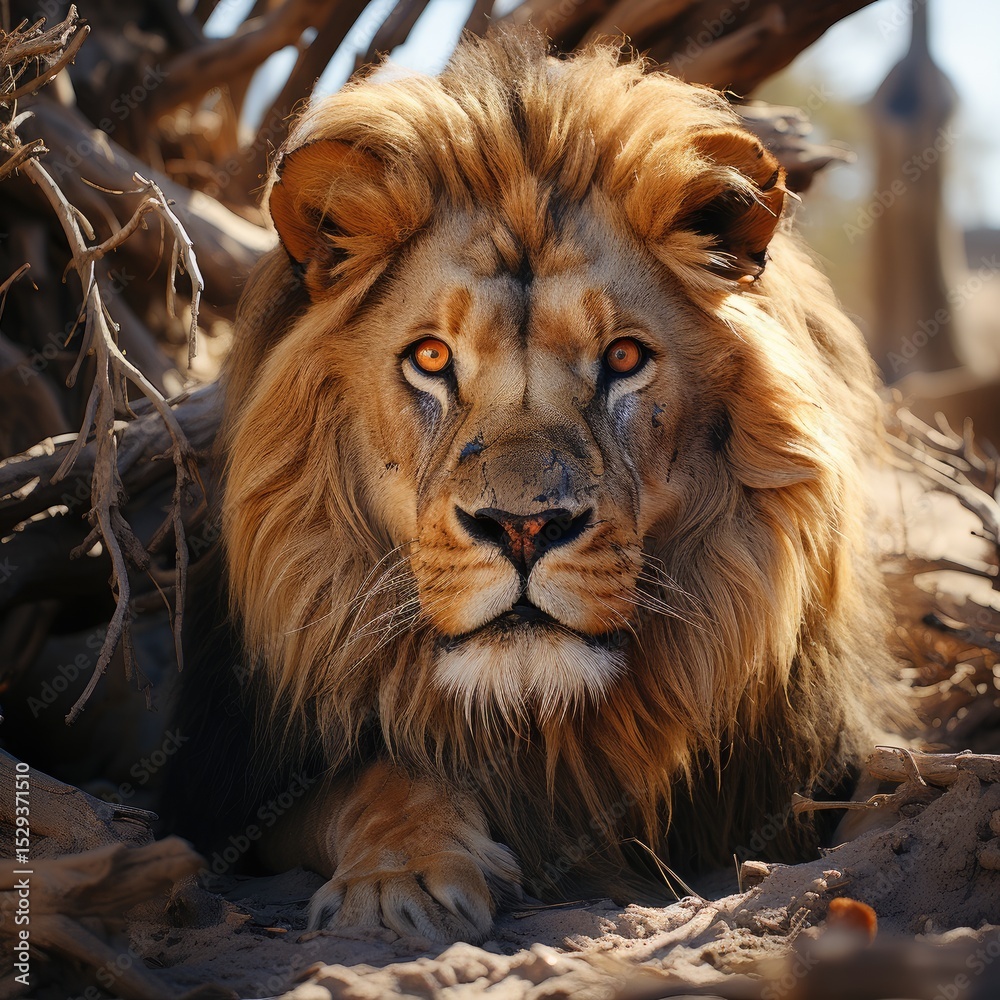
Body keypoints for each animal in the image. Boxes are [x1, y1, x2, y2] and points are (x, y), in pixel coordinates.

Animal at [165, 27, 906, 943]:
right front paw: (402, 881)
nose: (522, 529)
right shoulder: (226, 797)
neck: (539, 722)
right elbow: (374, 776)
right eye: (432, 357)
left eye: (622, 357)